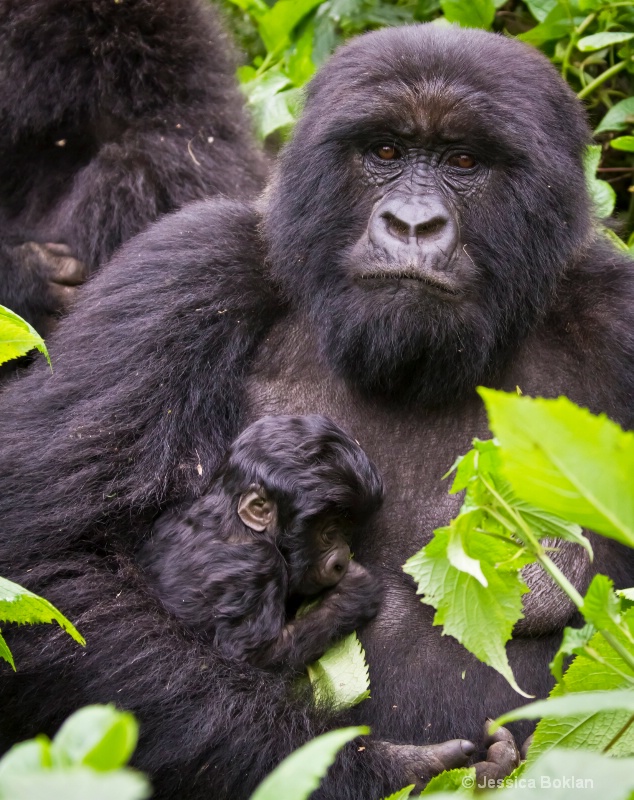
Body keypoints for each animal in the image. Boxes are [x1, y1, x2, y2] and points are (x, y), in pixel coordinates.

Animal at [140, 412, 382, 668]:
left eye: (347, 530)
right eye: (330, 532)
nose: (342, 558)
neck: (234, 521)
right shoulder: (259, 564)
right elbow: (255, 654)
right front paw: (353, 593)